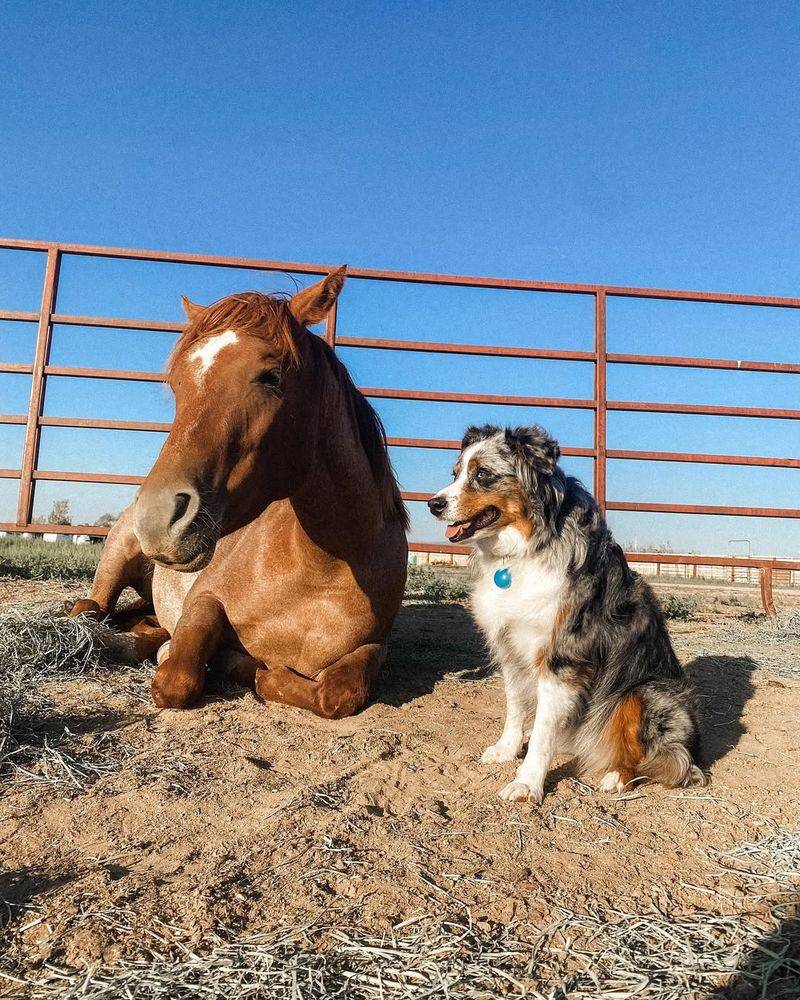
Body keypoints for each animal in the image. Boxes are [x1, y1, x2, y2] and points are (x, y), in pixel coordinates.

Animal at [69, 266, 410, 720]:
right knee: (91, 610)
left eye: (271, 376)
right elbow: (175, 680)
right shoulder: (204, 600)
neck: (320, 570)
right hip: (114, 564)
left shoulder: (374, 646)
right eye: (178, 385)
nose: (156, 516)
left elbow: (338, 693)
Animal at [428, 426, 704, 800]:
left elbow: (544, 731)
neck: (524, 549)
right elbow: (516, 705)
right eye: (454, 474)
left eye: (482, 474)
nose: (433, 504)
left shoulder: (561, 658)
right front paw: (506, 750)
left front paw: (527, 782)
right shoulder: (509, 646)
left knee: (655, 758)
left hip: (642, 693)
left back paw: (616, 776)